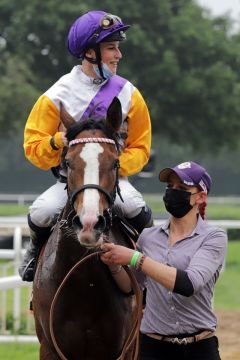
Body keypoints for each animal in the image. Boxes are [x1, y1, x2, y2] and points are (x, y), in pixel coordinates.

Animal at [32, 97, 142, 360]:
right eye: (68, 162)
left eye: (115, 163)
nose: (89, 223)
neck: (85, 282)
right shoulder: (49, 347)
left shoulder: (124, 348)